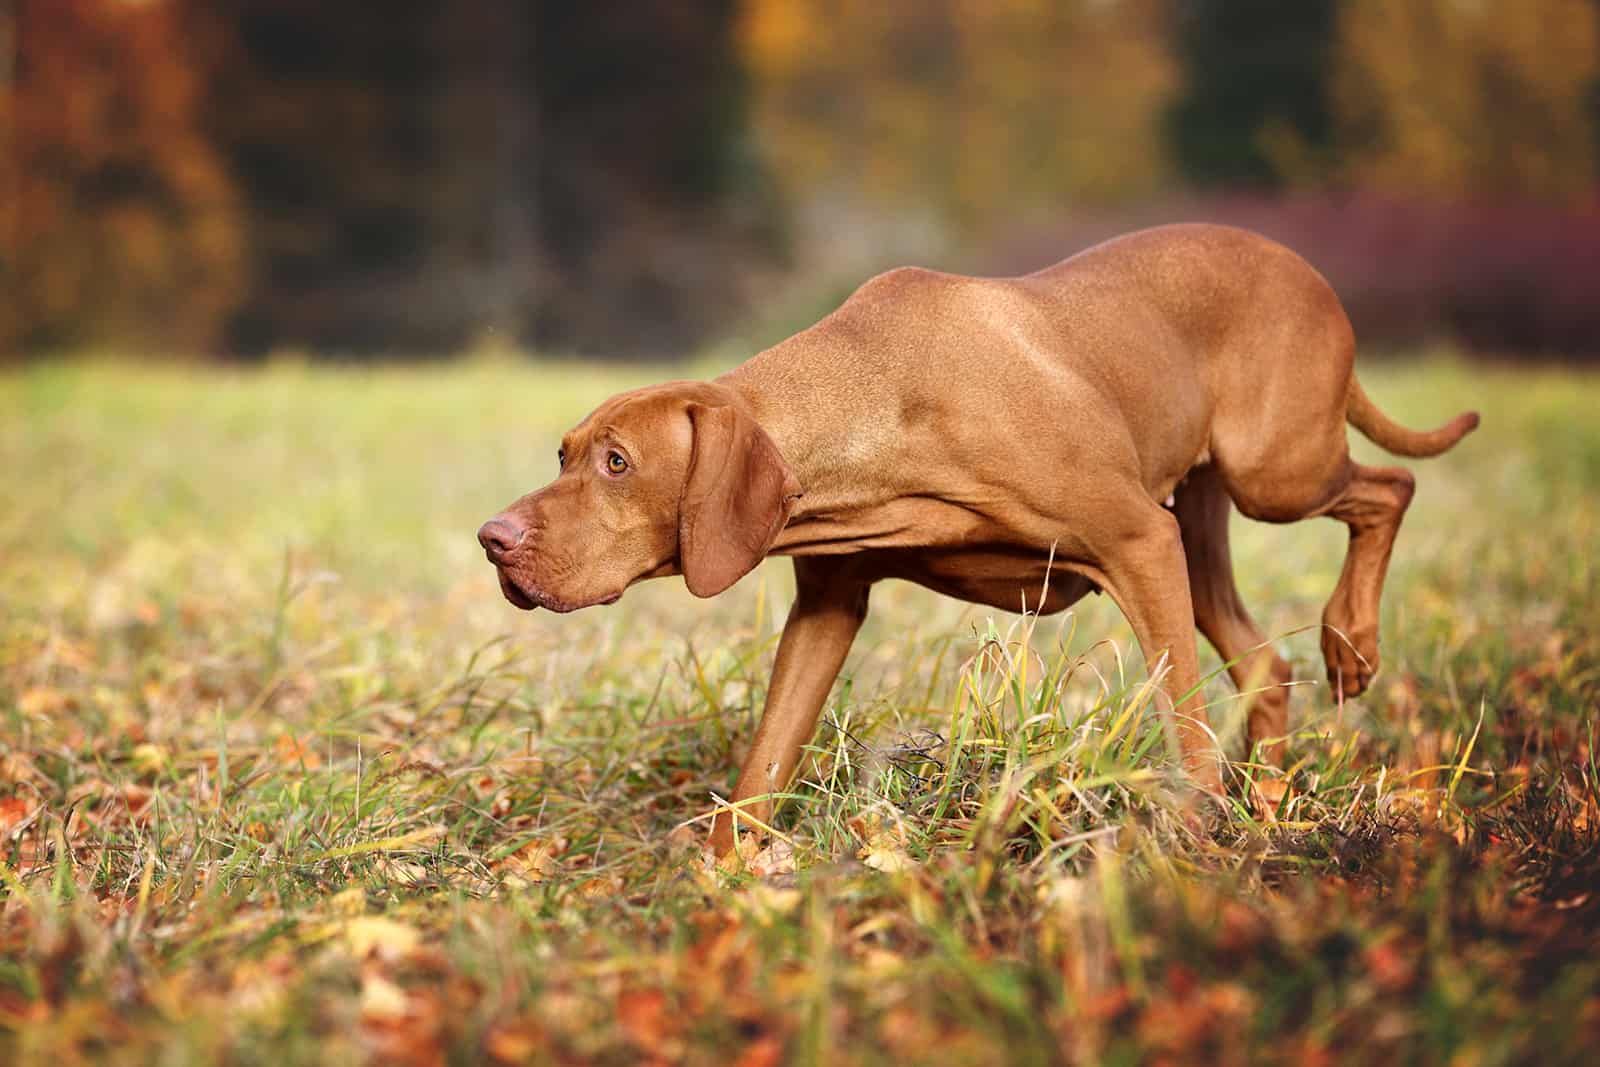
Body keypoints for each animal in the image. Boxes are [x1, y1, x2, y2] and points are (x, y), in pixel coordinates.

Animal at [473, 227, 1472, 857]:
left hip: (1273, 473)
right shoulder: (829, 604)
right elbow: (764, 758)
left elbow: (1180, 715)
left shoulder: (1138, 541)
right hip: (1204, 525)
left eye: (617, 462)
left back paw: (1350, 641)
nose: (492, 539)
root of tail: (1308, 271)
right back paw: (1270, 799)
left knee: (1391, 488)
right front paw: (725, 876)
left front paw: (1193, 839)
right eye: (564, 453)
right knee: (1265, 664)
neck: (879, 397)